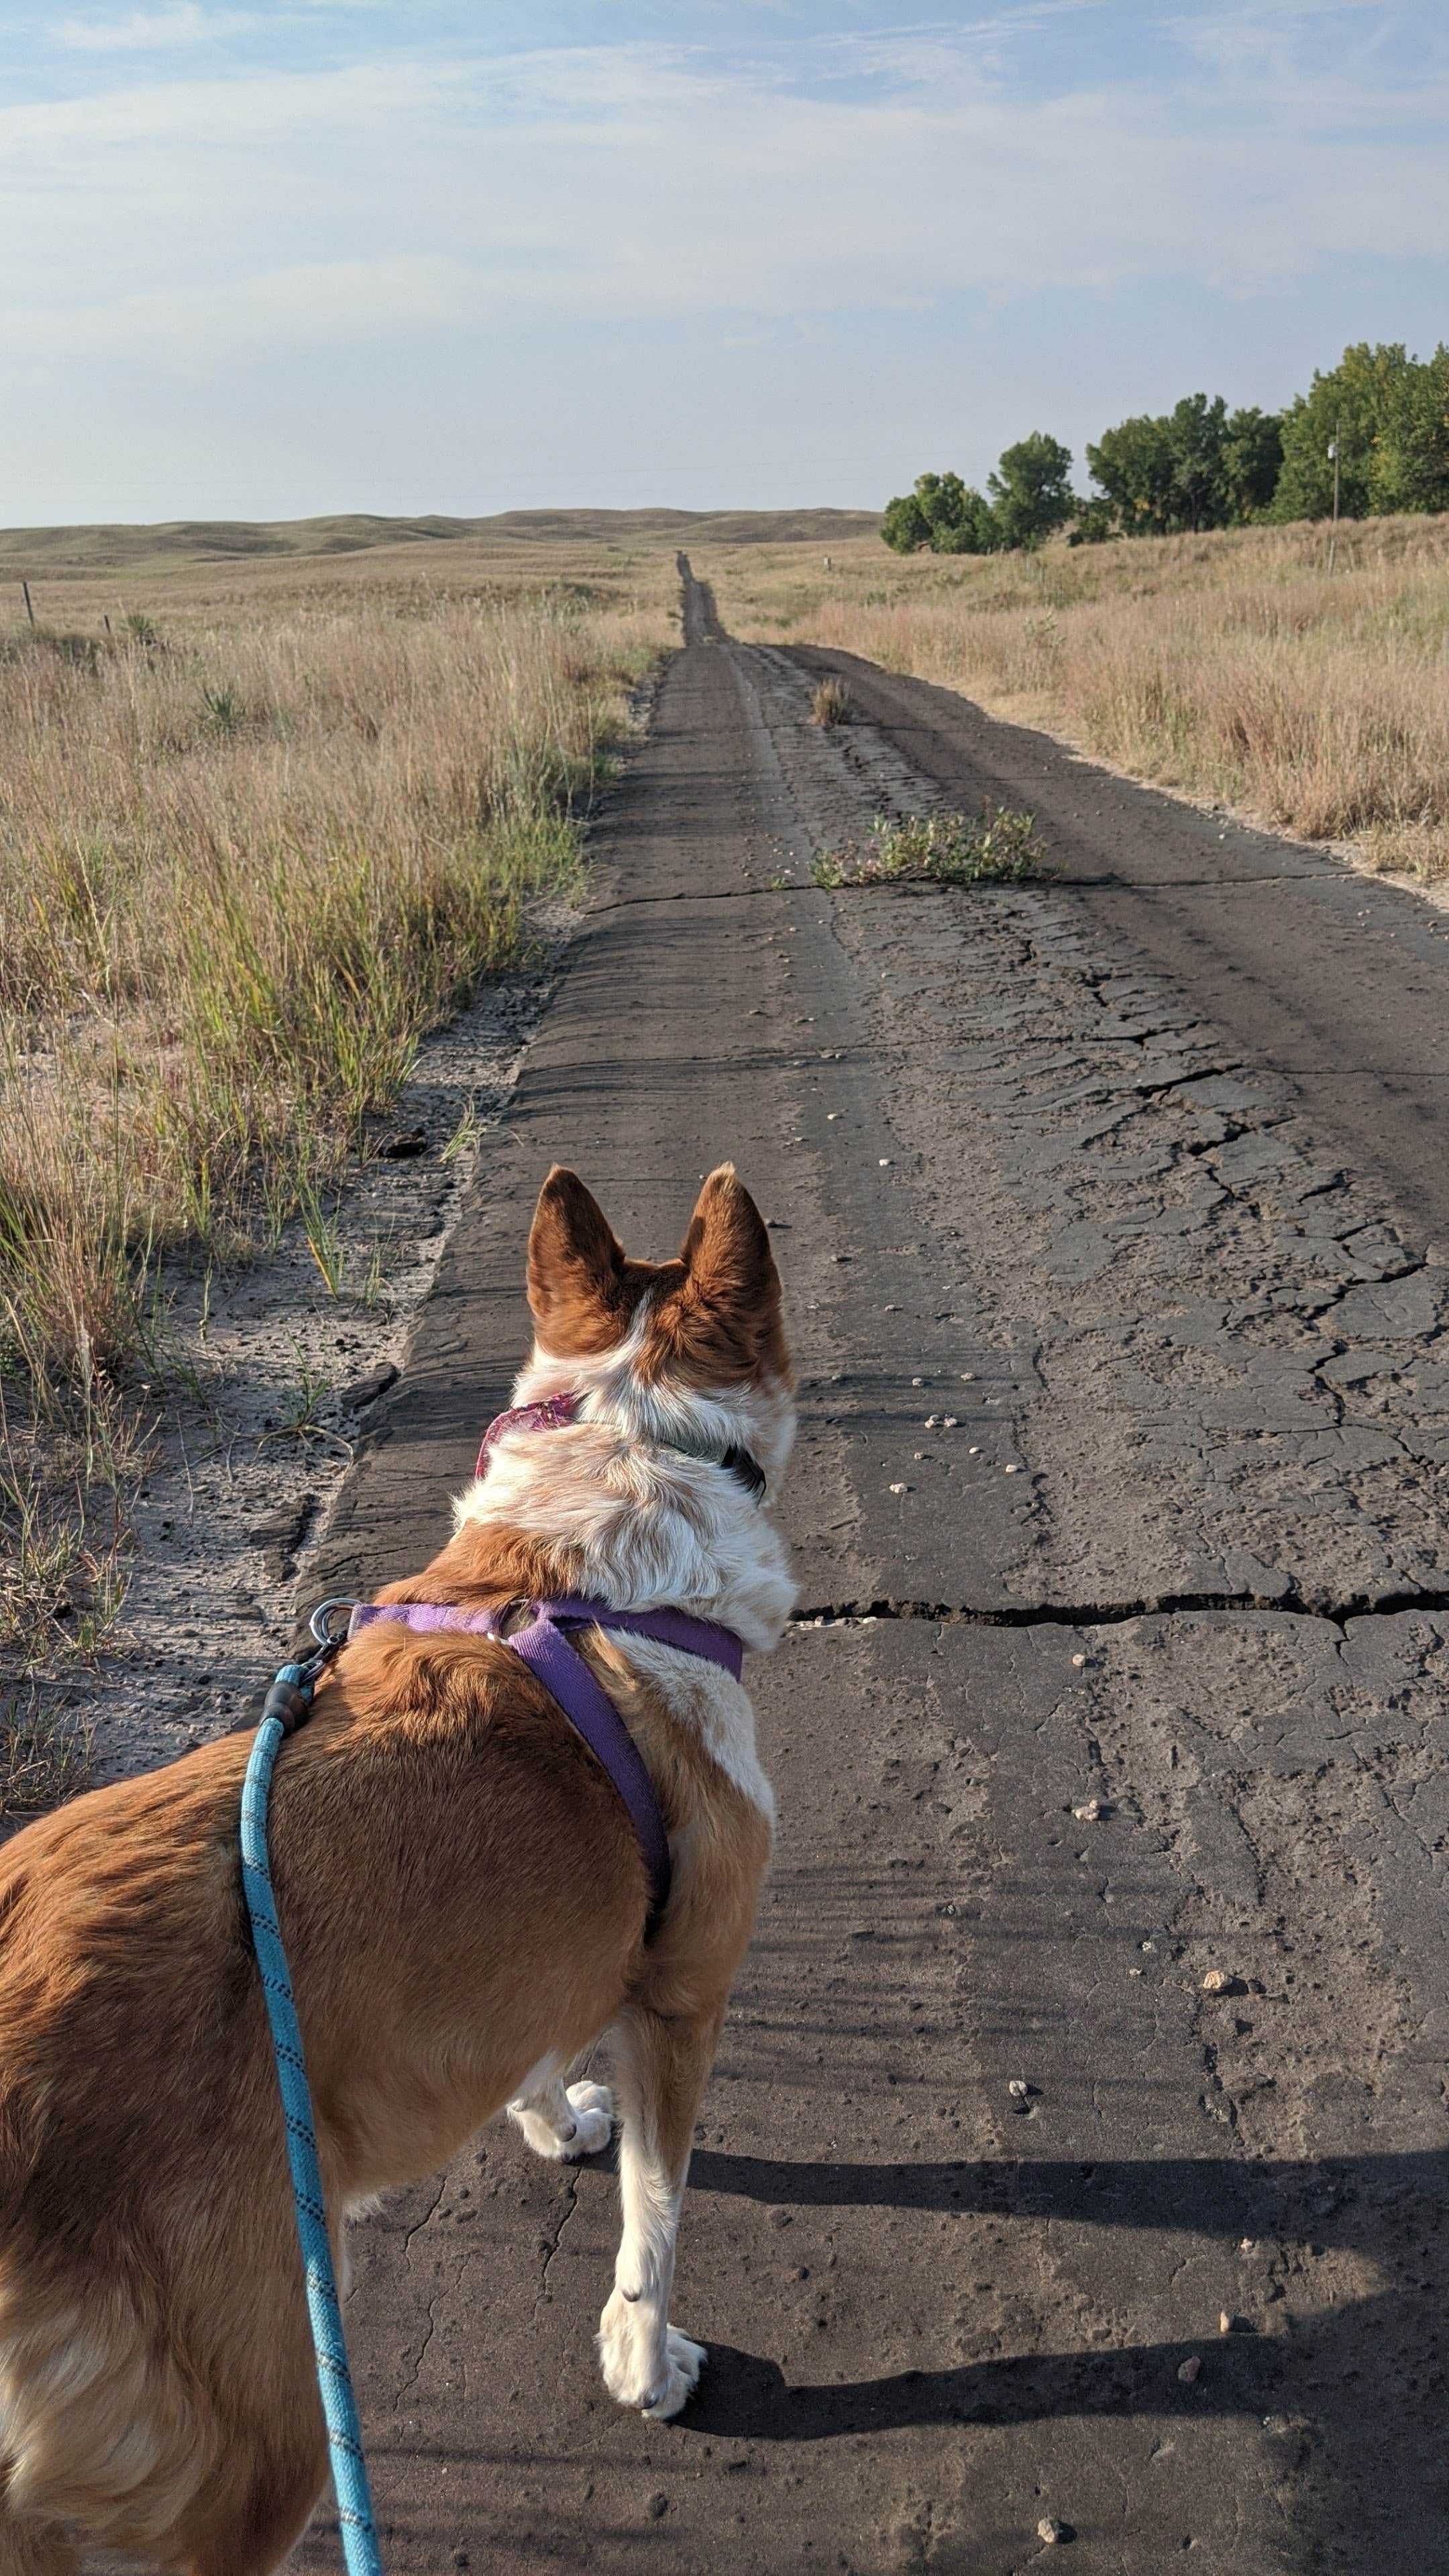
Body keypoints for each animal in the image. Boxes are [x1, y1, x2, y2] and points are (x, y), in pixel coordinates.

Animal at [0, 1169, 789, 2576]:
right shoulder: (681, 2001)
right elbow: (655, 2221)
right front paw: (645, 2367)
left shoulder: (532, 1963)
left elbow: (532, 2058)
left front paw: (556, 2125)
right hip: (249, 2446)